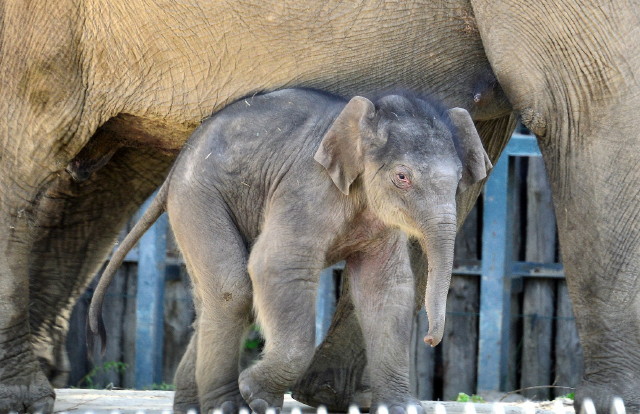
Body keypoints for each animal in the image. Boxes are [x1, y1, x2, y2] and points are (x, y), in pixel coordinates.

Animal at [89, 87, 490, 414]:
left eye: (459, 180)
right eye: (402, 177)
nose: (430, 339)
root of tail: (173, 171)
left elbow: (385, 288)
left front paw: (403, 409)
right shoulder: (306, 188)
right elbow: (277, 266)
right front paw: (255, 394)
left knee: (212, 300)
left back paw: (193, 407)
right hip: (198, 199)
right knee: (232, 290)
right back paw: (228, 406)